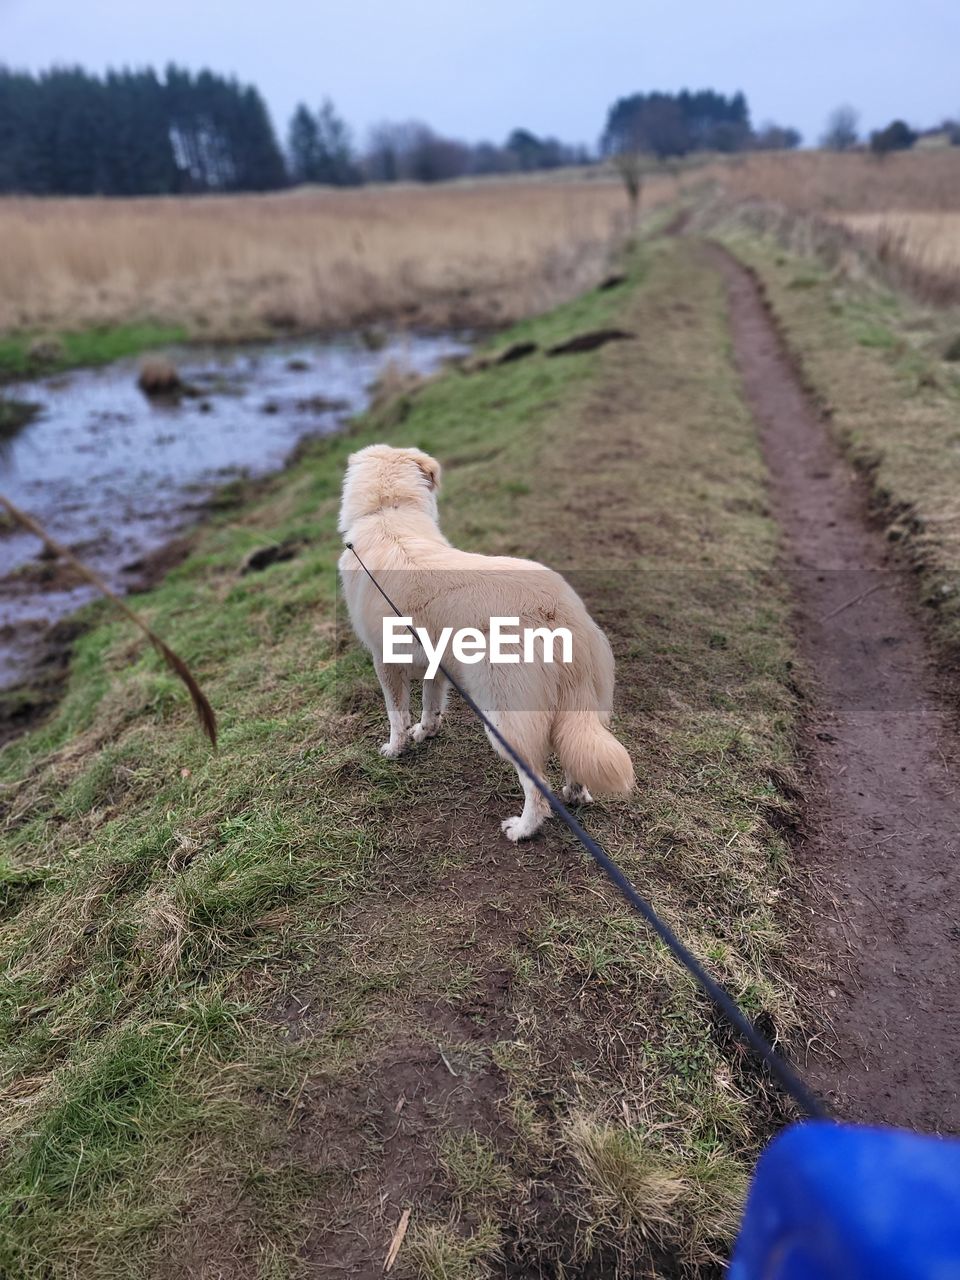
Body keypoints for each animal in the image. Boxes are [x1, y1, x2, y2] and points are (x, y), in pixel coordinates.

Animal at [340, 445, 640, 844]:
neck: (390, 513)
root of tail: (556, 608)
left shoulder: (384, 662)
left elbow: (396, 715)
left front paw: (395, 748)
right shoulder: (436, 663)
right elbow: (431, 704)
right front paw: (426, 732)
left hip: (505, 718)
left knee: (537, 786)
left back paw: (523, 829)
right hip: (575, 707)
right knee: (572, 754)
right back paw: (575, 794)